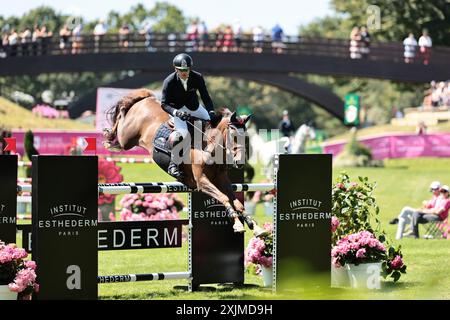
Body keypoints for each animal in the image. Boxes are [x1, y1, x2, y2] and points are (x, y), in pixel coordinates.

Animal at [101, 89, 268, 236]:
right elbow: (224, 197)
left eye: (246, 137)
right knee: (121, 119)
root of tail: (147, 98)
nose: (240, 162)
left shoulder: (221, 179)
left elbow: (236, 202)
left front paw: (254, 226)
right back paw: (108, 136)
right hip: (127, 139)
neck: (208, 145)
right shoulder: (201, 181)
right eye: (233, 135)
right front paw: (238, 225)